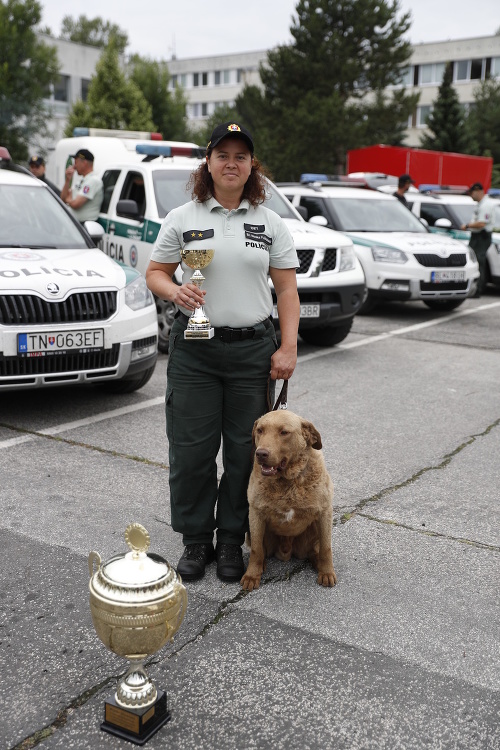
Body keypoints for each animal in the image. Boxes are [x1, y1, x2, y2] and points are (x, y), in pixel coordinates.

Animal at [241, 412, 338, 592]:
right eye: (260, 430)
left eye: (284, 432)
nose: (261, 453)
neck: (288, 481)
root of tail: (286, 551)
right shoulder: (255, 512)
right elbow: (256, 550)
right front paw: (252, 575)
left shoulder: (325, 512)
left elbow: (326, 548)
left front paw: (327, 572)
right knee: (262, 551)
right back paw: (262, 565)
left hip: (312, 531)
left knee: (315, 550)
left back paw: (318, 563)